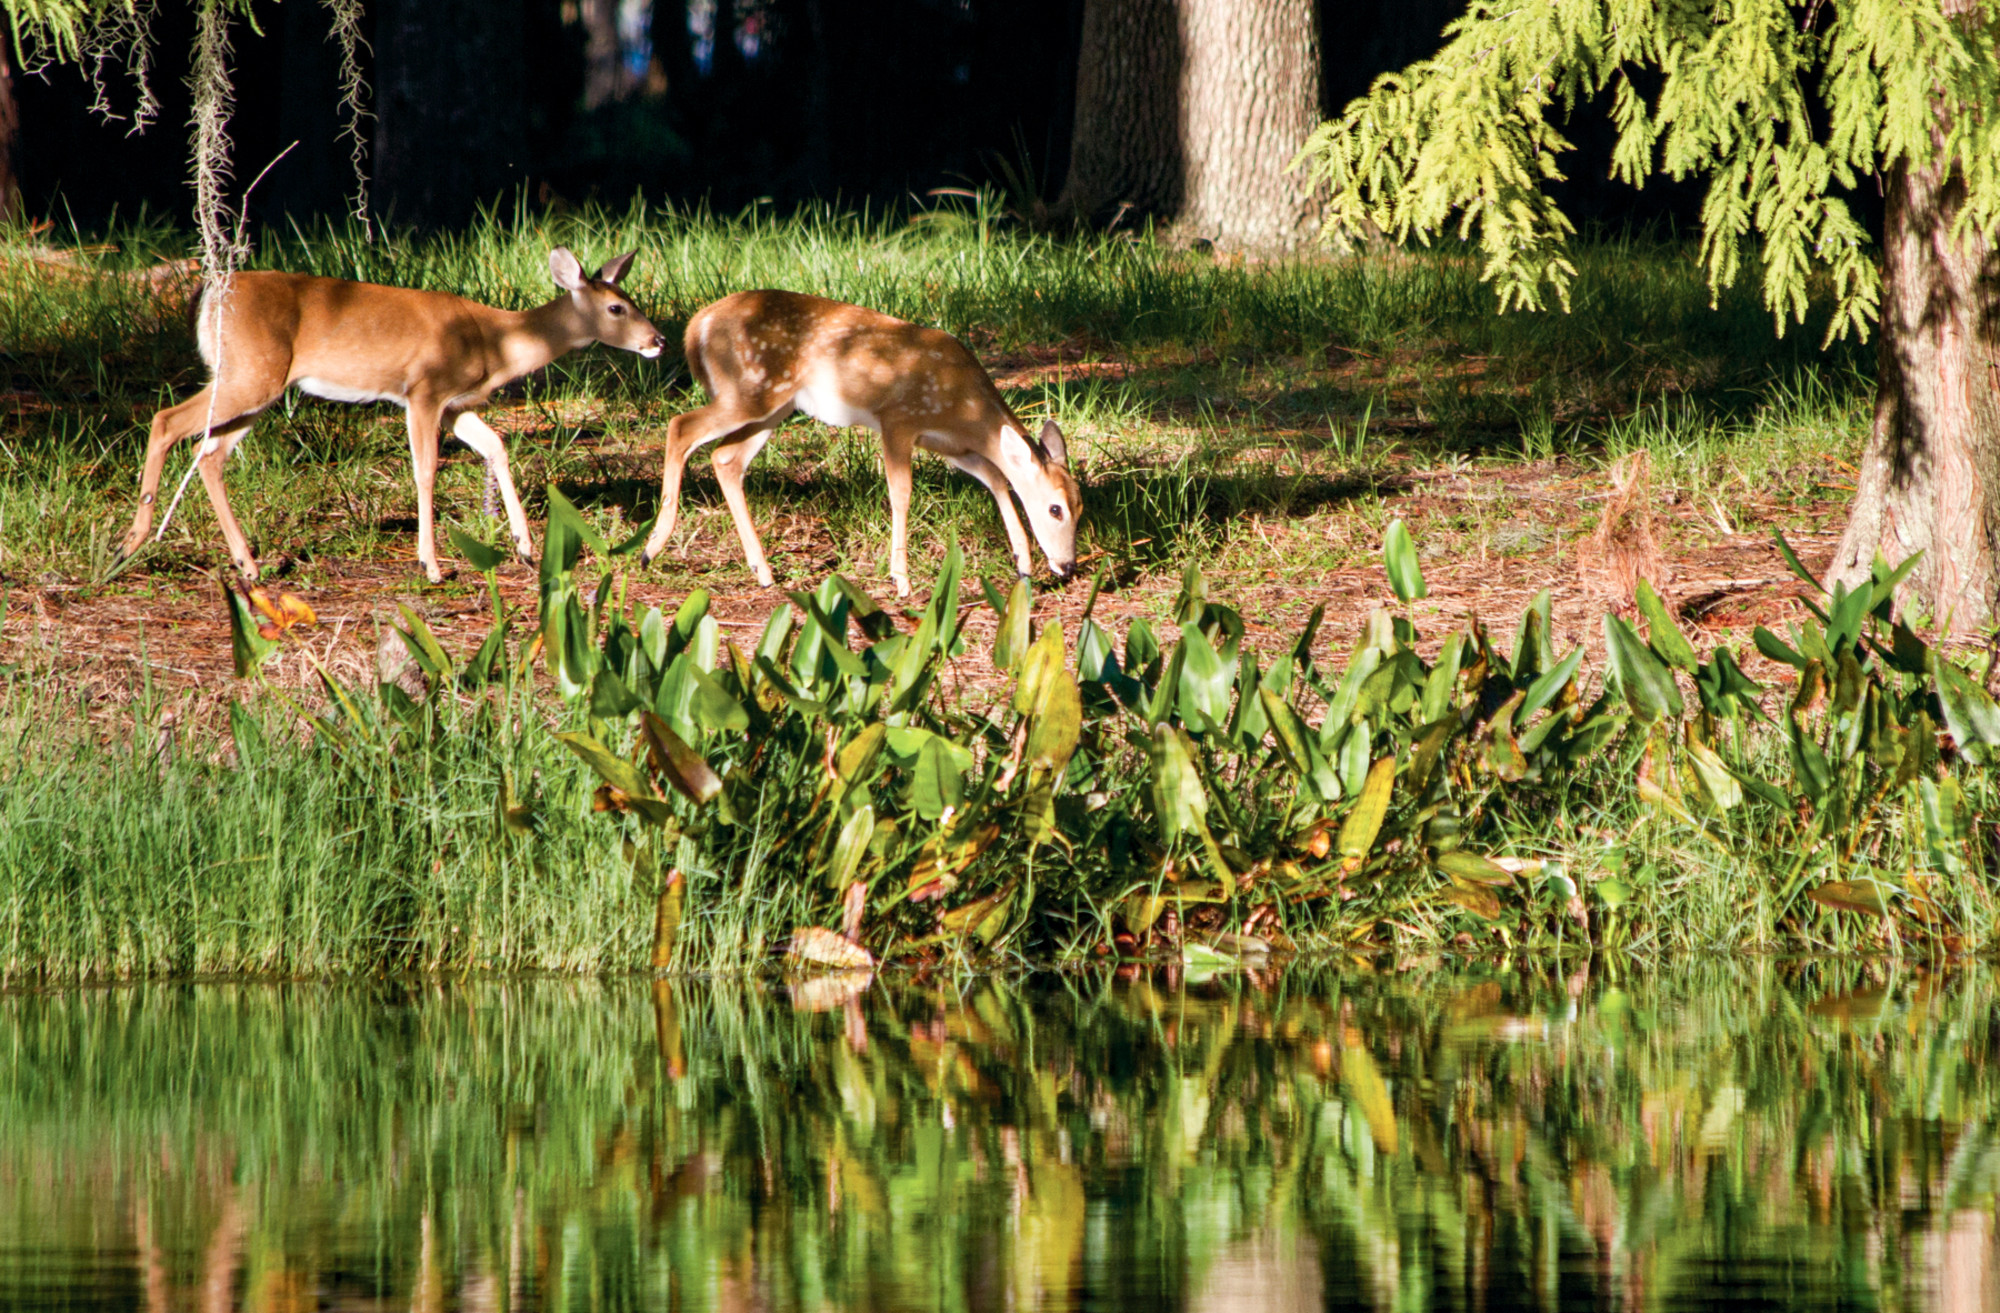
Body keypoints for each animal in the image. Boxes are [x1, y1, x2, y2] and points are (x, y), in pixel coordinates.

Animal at [116, 248, 666, 584]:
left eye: (630, 300)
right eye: (617, 308)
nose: (658, 340)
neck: (497, 341)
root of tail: (209, 297)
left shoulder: (455, 405)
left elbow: (496, 446)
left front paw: (526, 547)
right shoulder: (424, 389)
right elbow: (425, 472)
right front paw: (432, 565)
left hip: (257, 385)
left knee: (208, 453)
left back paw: (247, 564)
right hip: (249, 374)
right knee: (166, 421)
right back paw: (133, 543)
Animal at [640, 290, 1082, 597]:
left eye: (1079, 507)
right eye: (1055, 509)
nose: (1069, 566)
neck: (965, 405)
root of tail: (698, 325)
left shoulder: (950, 445)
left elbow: (996, 477)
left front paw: (1023, 563)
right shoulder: (899, 419)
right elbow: (902, 493)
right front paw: (901, 580)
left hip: (774, 406)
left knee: (725, 457)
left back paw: (761, 571)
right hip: (749, 392)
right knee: (680, 427)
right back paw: (652, 547)